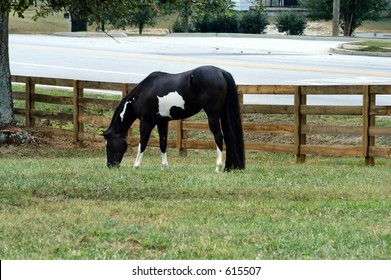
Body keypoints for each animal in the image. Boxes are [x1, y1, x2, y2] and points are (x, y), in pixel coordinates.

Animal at [102, 65, 247, 172]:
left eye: (108, 144)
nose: (110, 165)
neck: (142, 93)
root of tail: (222, 72)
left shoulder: (146, 122)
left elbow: (142, 143)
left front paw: (136, 165)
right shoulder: (162, 122)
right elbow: (163, 143)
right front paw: (163, 167)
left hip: (213, 115)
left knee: (218, 137)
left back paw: (218, 167)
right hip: (222, 114)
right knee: (229, 136)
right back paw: (229, 167)